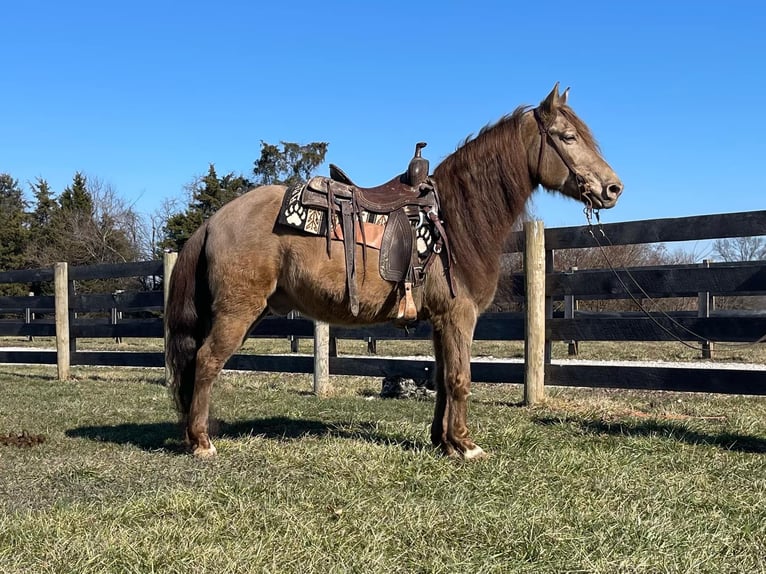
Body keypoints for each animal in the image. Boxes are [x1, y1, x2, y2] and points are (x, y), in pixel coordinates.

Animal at [165, 83, 620, 462]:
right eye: (567, 137)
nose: (613, 188)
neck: (456, 219)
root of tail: (213, 221)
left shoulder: (440, 321)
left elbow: (443, 378)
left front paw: (443, 442)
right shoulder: (460, 317)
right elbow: (461, 378)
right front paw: (466, 445)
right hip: (237, 312)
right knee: (206, 362)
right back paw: (201, 442)